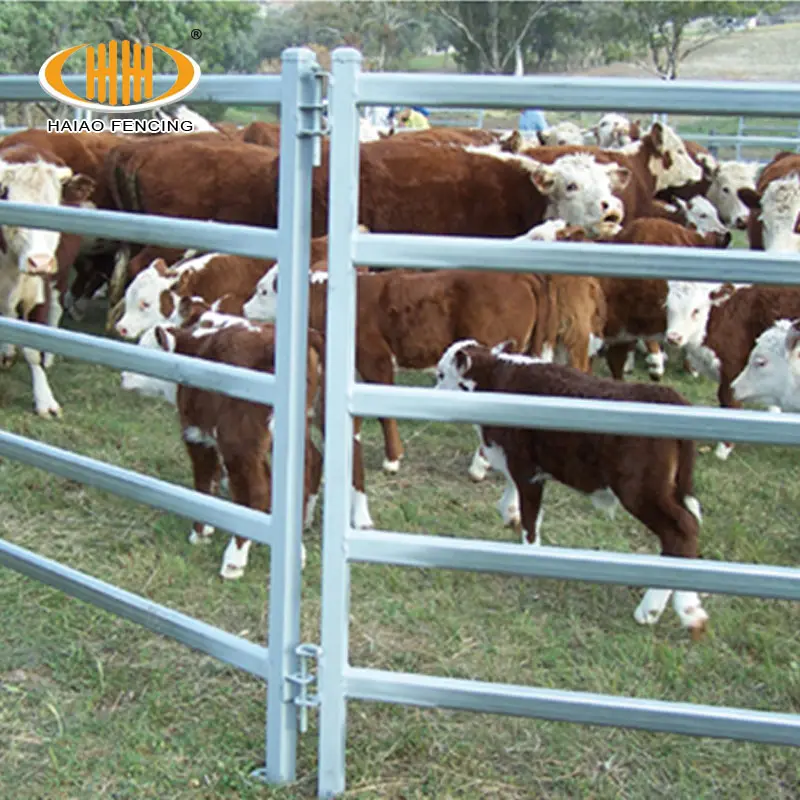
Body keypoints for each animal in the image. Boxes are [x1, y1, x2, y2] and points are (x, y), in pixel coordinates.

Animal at [244, 262, 552, 476]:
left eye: (262, 291)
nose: (245, 308)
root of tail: (518, 276)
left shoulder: (375, 360)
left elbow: (383, 413)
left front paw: (392, 460)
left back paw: (479, 467)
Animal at [438, 340, 708, 636]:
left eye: (441, 374)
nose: (433, 391)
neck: (496, 377)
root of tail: (669, 395)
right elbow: (513, 494)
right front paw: (509, 514)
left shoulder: (526, 467)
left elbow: (531, 514)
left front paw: (529, 552)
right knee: (689, 527)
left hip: (641, 490)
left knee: (681, 531)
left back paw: (659, 611)